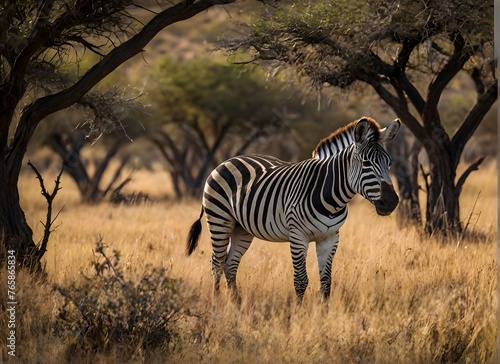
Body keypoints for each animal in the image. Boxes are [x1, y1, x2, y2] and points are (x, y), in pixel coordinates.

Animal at [186, 116, 400, 302]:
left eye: (389, 163)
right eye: (366, 163)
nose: (391, 202)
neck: (331, 197)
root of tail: (227, 161)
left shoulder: (330, 238)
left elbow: (326, 282)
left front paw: (324, 314)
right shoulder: (298, 235)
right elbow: (301, 280)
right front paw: (298, 314)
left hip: (242, 228)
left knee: (230, 264)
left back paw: (236, 304)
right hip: (219, 220)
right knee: (216, 262)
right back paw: (217, 301)